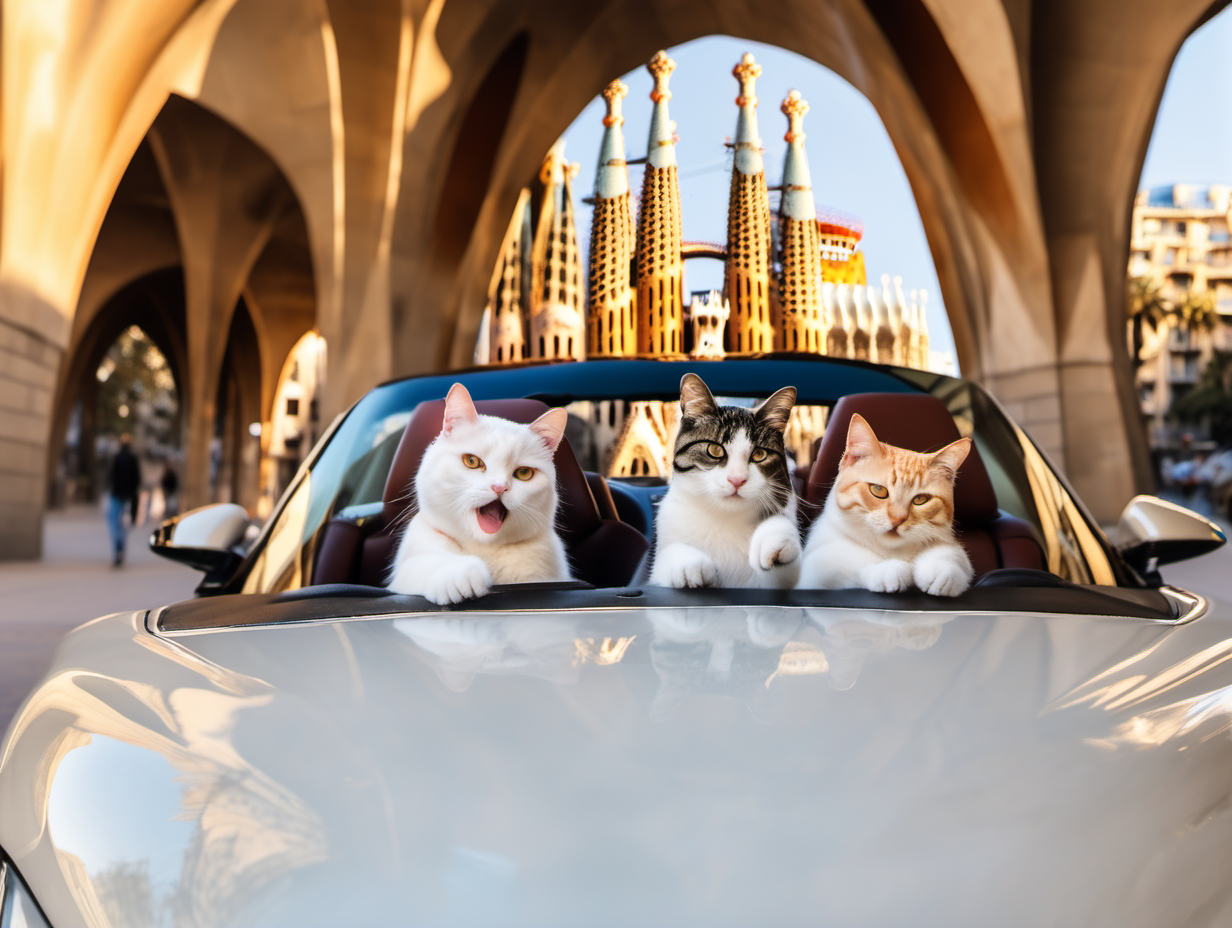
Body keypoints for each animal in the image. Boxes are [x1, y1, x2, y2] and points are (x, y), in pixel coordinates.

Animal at [386, 382, 569, 603]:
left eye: (524, 473)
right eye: (472, 461)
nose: (499, 487)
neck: (484, 549)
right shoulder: (405, 572)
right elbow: (428, 562)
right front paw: (462, 576)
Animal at [650, 372, 803, 589]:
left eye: (759, 454)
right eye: (714, 450)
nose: (737, 479)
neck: (723, 516)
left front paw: (777, 541)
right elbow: (667, 556)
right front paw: (690, 565)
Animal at [793, 411, 975, 594]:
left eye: (920, 499)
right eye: (878, 490)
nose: (898, 519)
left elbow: (953, 552)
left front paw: (942, 570)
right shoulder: (814, 571)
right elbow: (844, 561)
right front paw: (890, 570)